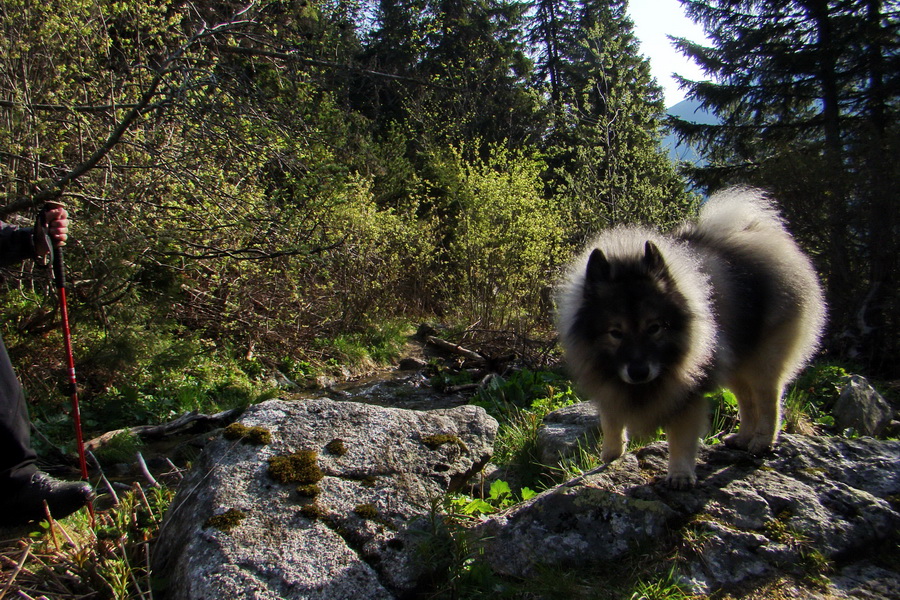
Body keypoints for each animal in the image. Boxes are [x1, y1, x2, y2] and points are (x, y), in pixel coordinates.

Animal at [560, 188, 828, 488]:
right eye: (615, 333)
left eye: (655, 327)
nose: (639, 372)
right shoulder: (608, 384)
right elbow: (611, 420)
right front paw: (611, 453)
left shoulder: (686, 392)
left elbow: (680, 438)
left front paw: (679, 474)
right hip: (735, 363)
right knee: (747, 402)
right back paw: (742, 438)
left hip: (763, 362)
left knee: (769, 401)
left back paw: (761, 441)